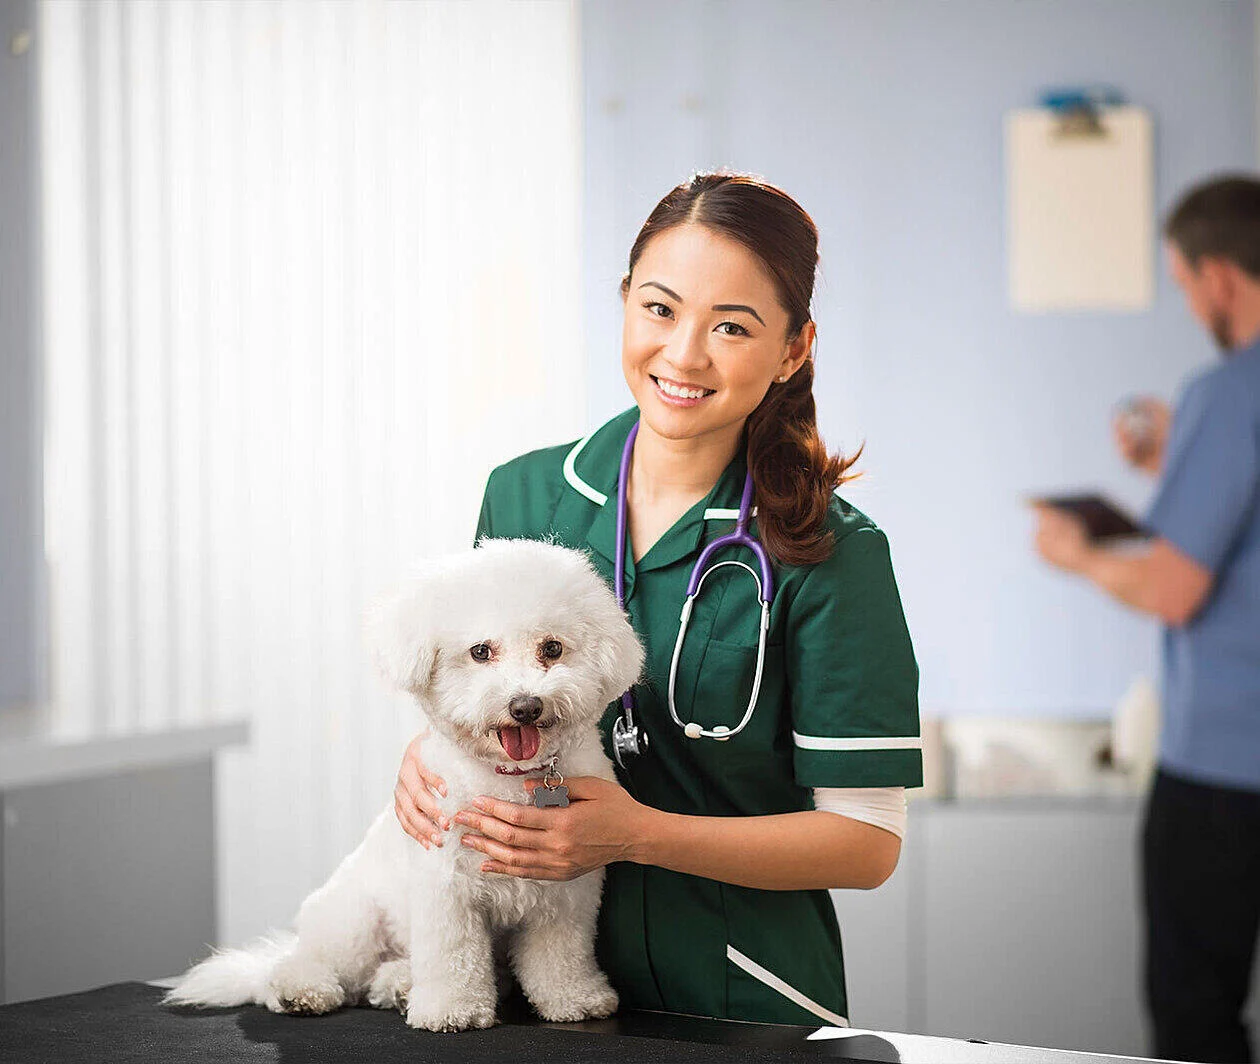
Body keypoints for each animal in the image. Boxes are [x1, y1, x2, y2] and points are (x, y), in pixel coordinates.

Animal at [165, 539, 640, 1028]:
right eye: (481, 652)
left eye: (552, 647)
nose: (525, 705)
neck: (508, 776)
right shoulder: (446, 885)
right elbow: (453, 956)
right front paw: (452, 1009)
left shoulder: (567, 891)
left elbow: (561, 954)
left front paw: (574, 998)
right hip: (353, 921)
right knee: (302, 964)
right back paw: (302, 990)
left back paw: (397, 986)